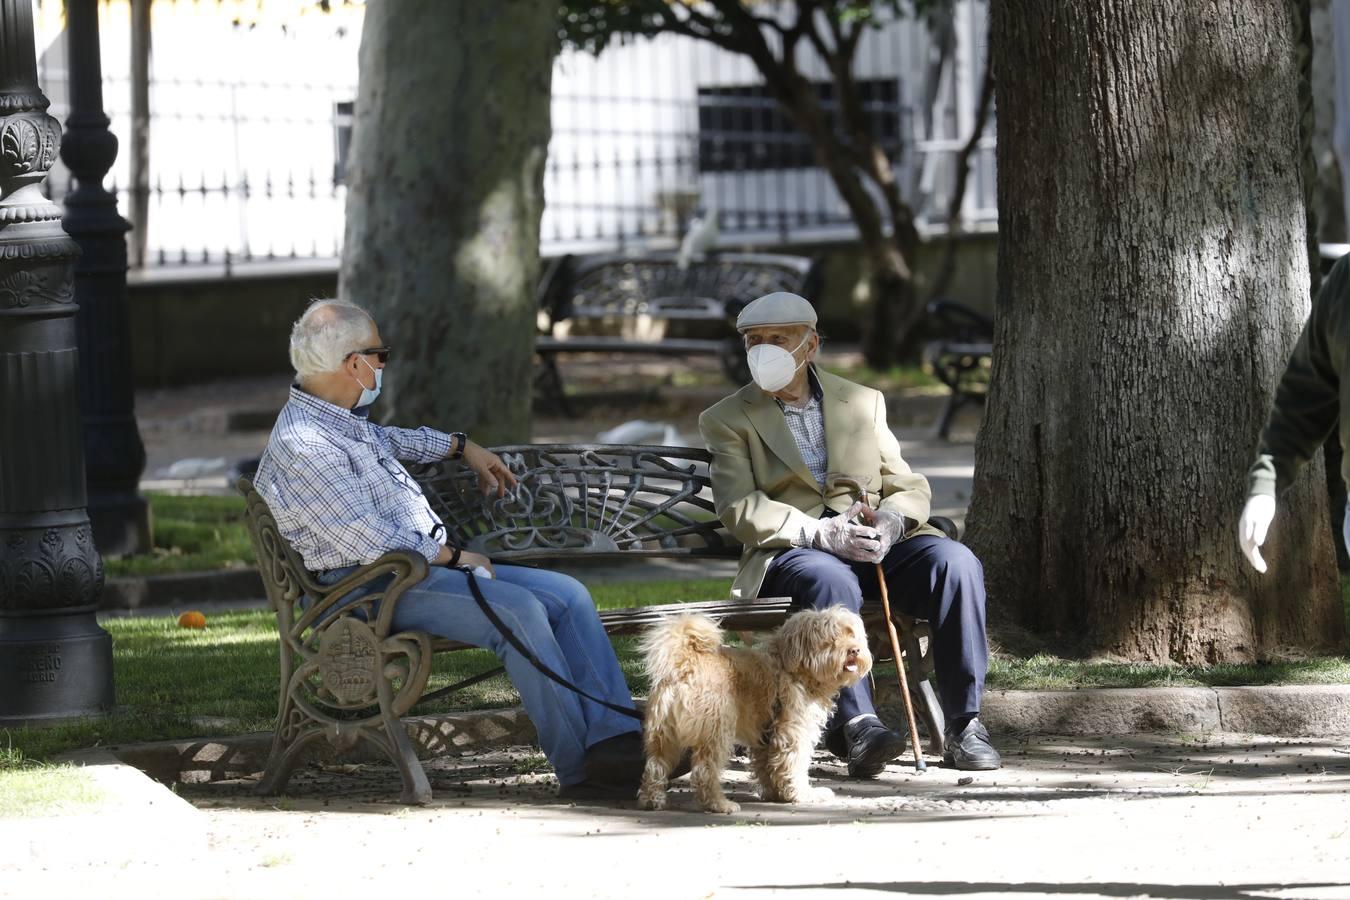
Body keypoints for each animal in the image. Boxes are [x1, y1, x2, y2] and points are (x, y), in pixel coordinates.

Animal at [634, 609, 869, 814]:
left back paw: (652, 801)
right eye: (832, 638)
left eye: (851, 633)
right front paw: (803, 794)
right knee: (704, 772)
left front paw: (777, 794)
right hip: (716, 732)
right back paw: (719, 805)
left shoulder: (767, 739)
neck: (793, 668)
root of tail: (685, 663)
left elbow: (769, 768)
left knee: (655, 767)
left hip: (663, 737)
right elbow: (794, 765)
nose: (854, 650)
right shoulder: (793, 733)